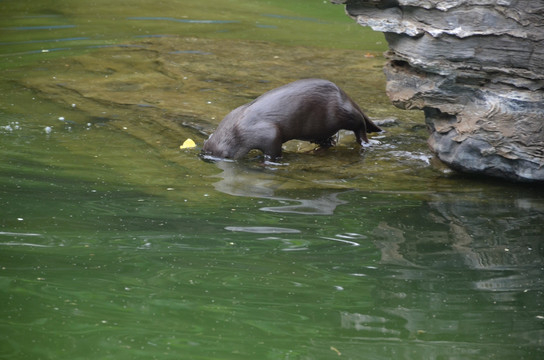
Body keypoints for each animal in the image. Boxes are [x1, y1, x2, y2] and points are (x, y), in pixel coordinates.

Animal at [201, 79, 382, 160]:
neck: (239, 129)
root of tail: (345, 95)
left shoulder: (269, 134)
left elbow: (273, 150)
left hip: (342, 113)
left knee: (360, 124)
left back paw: (365, 142)